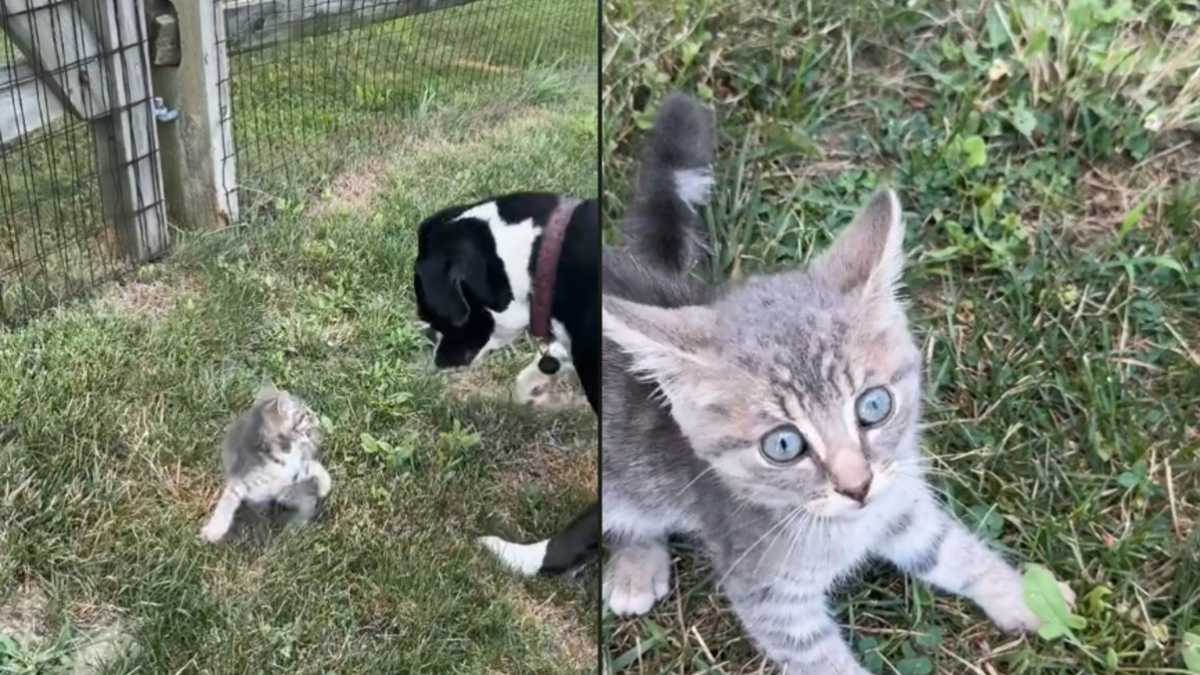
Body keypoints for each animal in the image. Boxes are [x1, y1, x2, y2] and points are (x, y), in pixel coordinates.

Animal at [200, 384, 333, 540]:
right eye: (306, 415)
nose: (316, 416)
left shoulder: (292, 472)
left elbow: (313, 467)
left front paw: (325, 485)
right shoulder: (241, 477)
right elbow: (227, 502)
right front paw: (213, 531)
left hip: (285, 492)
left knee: (309, 501)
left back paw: (296, 524)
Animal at [604, 93, 1075, 672]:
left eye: (874, 406)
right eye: (783, 445)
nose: (857, 486)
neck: (847, 526)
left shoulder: (901, 503)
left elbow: (947, 545)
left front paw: (1025, 595)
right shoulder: (773, 598)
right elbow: (826, 661)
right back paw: (636, 561)